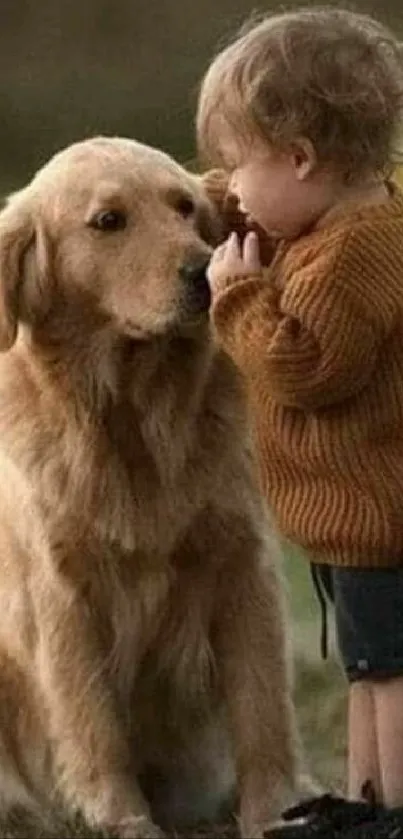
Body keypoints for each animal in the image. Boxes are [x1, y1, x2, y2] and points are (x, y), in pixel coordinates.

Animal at [0, 138, 300, 839]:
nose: (204, 273)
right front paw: (124, 821)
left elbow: (262, 707)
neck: (134, 418)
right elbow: (94, 723)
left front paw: (276, 811)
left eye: (185, 207)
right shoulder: (64, 594)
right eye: (108, 221)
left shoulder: (242, 562)